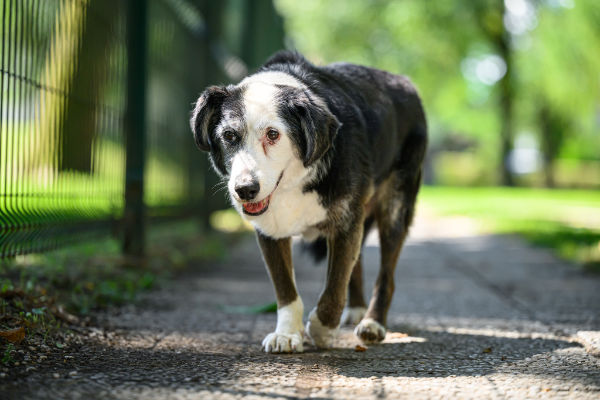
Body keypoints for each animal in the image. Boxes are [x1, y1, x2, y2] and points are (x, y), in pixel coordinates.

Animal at [190, 51, 427, 353]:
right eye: (229, 136)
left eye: (273, 134)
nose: (245, 190)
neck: (293, 184)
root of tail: (404, 81)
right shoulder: (271, 231)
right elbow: (286, 289)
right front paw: (287, 333)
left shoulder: (345, 223)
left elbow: (334, 284)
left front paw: (323, 328)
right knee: (358, 261)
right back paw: (357, 309)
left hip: (395, 207)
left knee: (386, 275)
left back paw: (373, 323)